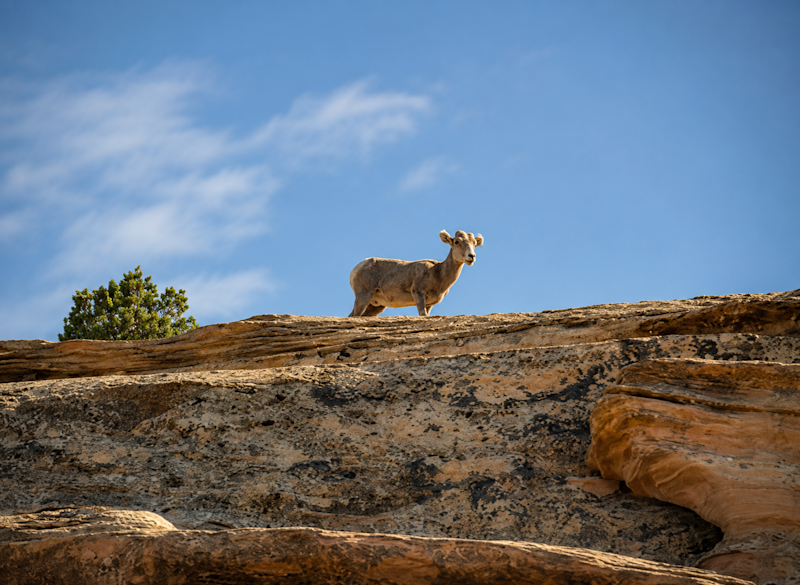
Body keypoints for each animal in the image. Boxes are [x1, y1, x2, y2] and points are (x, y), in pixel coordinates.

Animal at [348, 229, 484, 317]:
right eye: (456, 242)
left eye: (475, 244)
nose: (471, 256)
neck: (439, 274)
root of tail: (355, 269)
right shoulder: (418, 293)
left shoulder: (429, 304)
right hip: (364, 296)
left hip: (376, 306)